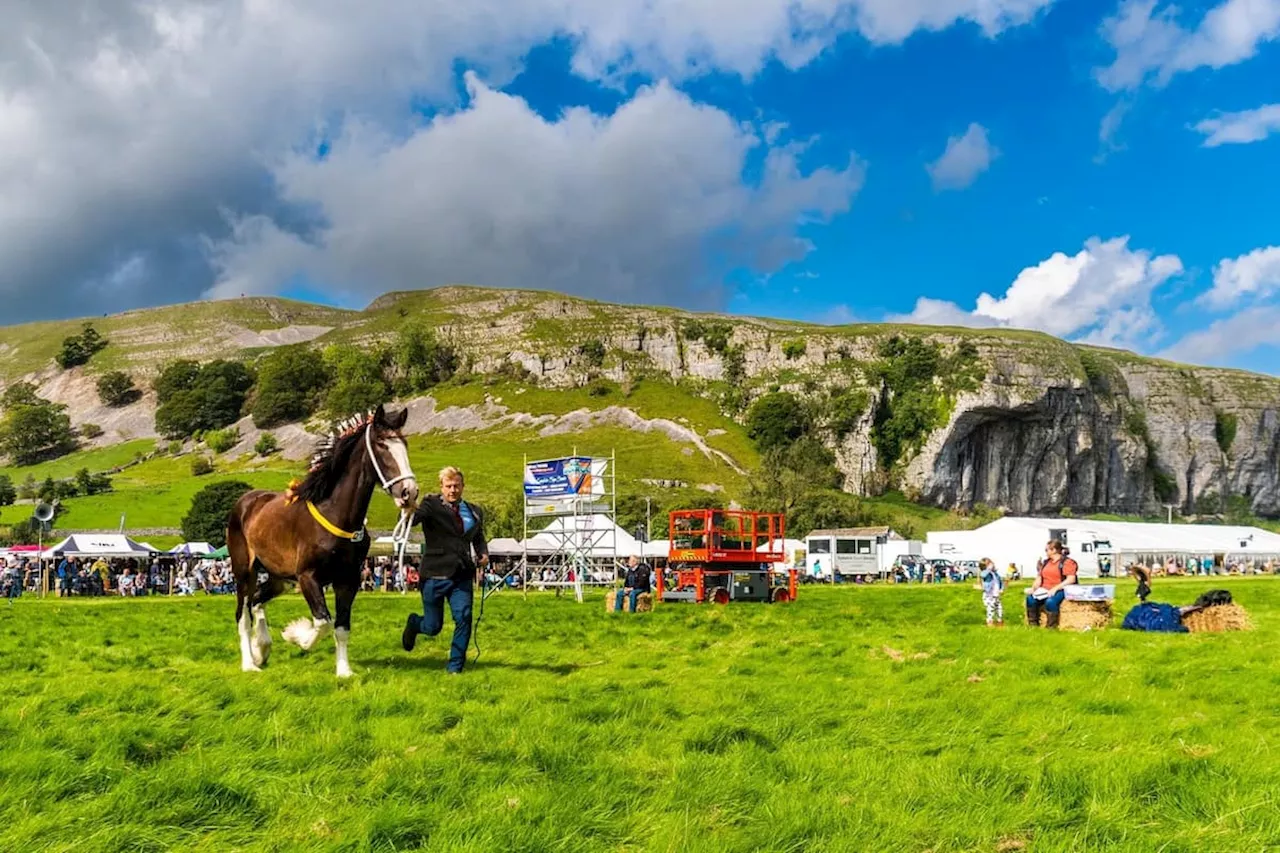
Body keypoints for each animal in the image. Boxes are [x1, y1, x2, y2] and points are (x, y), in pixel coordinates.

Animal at [222, 402, 417, 676]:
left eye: (405, 444)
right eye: (382, 445)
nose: (409, 492)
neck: (336, 515)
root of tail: (246, 501)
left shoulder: (348, 579)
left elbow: (341, 627)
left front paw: (344, 671)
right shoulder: (307, 577)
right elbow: (323, 621)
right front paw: (296, 636)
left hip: (279, 578)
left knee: (258, 601)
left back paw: (262, 649)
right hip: (244, 572)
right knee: (243, 615)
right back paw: (250, 663)